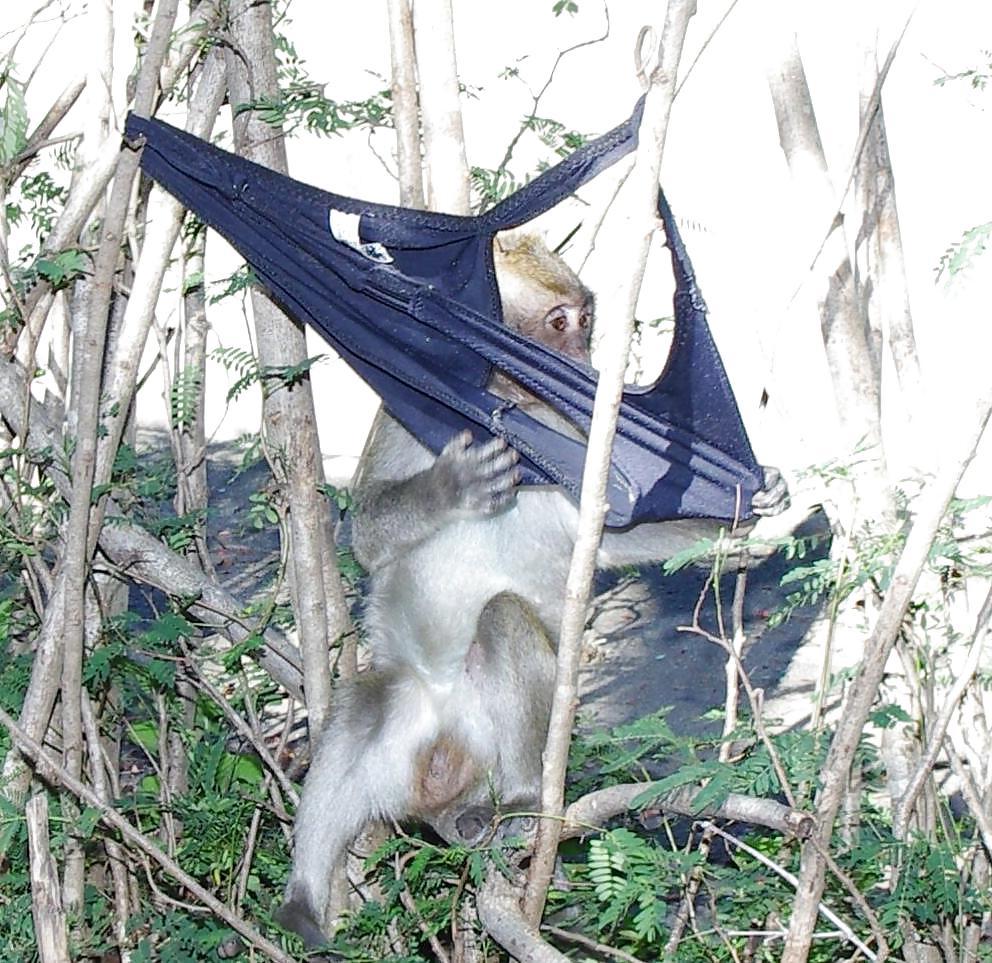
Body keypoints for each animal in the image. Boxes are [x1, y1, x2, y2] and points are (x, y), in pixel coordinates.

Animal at [275, 233, 788, 948]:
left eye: (584, 321)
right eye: (559, 322)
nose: (582, 360)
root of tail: (448, 759)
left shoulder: (578, 444)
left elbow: (612, 536)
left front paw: (749, 504)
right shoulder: (404, 416)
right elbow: (369, 533)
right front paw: (449, 489)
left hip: (483, 750)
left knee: (502, 623)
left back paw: (518, 800)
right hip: (403, 740)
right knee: (364, 703)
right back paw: (302, 898)